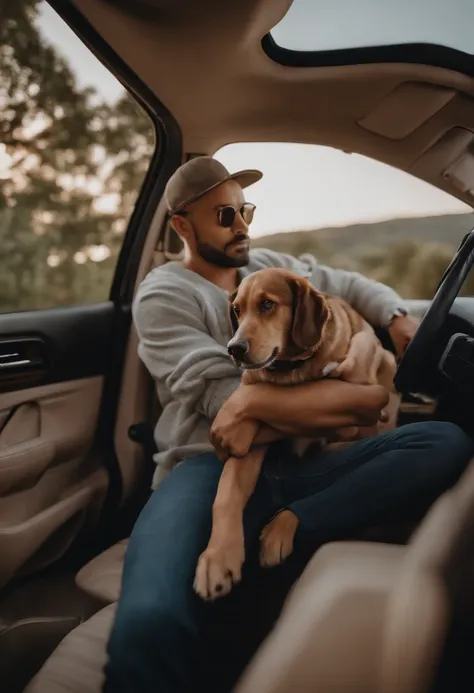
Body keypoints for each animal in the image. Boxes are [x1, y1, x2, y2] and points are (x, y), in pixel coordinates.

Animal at [193, 268, 396, 600]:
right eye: (237, 310)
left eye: (267, 304)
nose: (234, 348)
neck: (290, 370)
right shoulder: (246, 448)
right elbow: (225, 496)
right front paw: (217, 558)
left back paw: (278, 531)